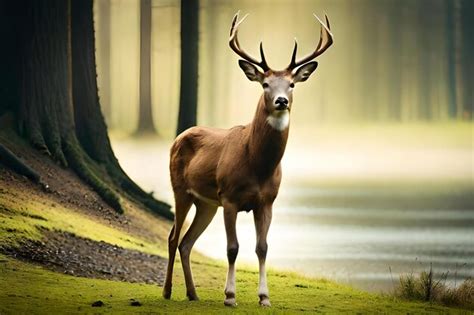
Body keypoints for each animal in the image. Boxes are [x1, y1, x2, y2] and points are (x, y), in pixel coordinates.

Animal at [163, 11, 334, 308]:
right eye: (265, 84)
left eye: (291, 84)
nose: (281, 101)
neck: (257, 166)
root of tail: (178, 136)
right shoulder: (230, 197)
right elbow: (232, 248)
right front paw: (230, 296)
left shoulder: (266, 201)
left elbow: (262, 247)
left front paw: (264, 297)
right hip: (181, 189)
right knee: (173, 237)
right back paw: (167, 291)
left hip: (207, 203)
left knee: (187, 242)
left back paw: (193, 293)